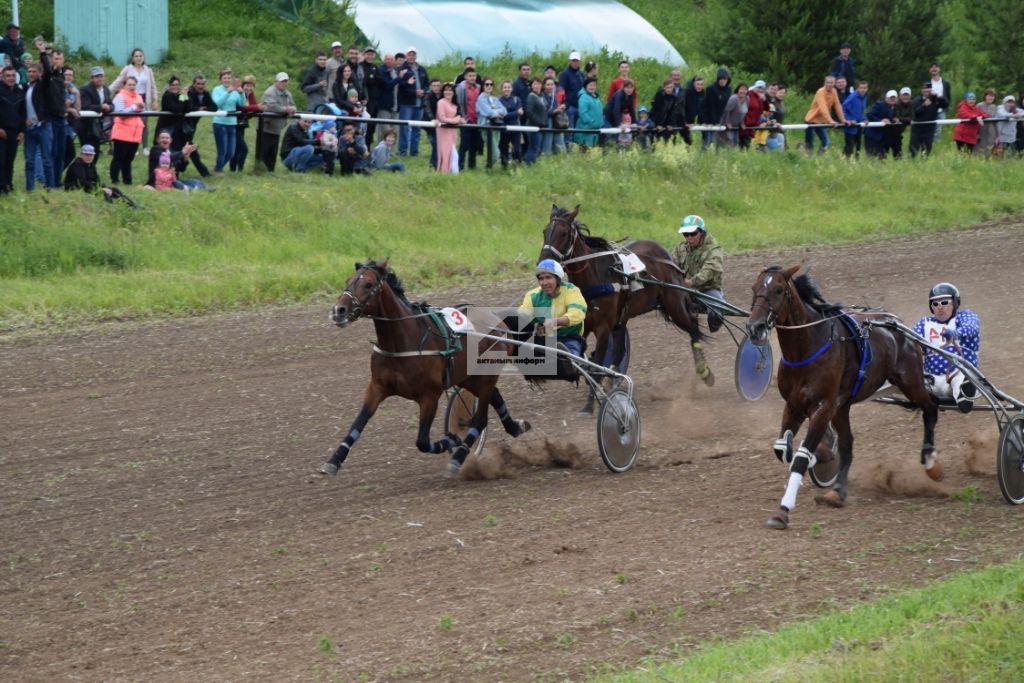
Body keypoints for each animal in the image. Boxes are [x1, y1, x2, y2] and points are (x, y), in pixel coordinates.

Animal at [317, 259, 528, 479]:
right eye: (347, 281)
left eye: (368, 284)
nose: (339, 311)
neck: (403, 342)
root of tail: (497, 319)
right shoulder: (376, 388)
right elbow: (358, 423)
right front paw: (334, 460)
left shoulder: (429, 396)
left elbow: (422, 442)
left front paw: (451, 440)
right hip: (470, 377)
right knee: (494, 398)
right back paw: (515, 427)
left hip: (486, 376)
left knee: (479, 420)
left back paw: (457, 458)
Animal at [544, 202, 712, 413]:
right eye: (545, 231)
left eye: (564, 233)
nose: (544, 261)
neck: (595, 277)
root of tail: (668, 257)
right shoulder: (585, 325)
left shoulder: (603, 328)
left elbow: (598, 363)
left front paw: (590, 404)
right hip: (622, 319)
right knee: (619, 351)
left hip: (674, 305)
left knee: (693, 328)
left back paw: (705, 372)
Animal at [745, 266, 937, 528]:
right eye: (755, 288)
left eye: (779, 289)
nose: (755, 328)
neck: (807, 348)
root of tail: (897, 324)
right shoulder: (794, 406)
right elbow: (782, 449)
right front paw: (819, 457)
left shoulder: (823, 406)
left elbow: (801, 457)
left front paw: (783, 510)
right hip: (843, 407)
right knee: (848, 444)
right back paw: (837, 491)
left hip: (911, 382)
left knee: (931, 409)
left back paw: (930, 461)